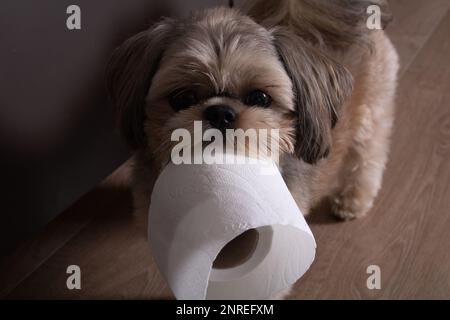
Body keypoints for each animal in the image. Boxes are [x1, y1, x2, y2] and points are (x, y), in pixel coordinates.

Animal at [104, 0, 398, 298]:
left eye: (260, 97)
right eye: (183, 98)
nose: (221, 113)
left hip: (372, 113)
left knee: (368, 157)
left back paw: (353, 200)